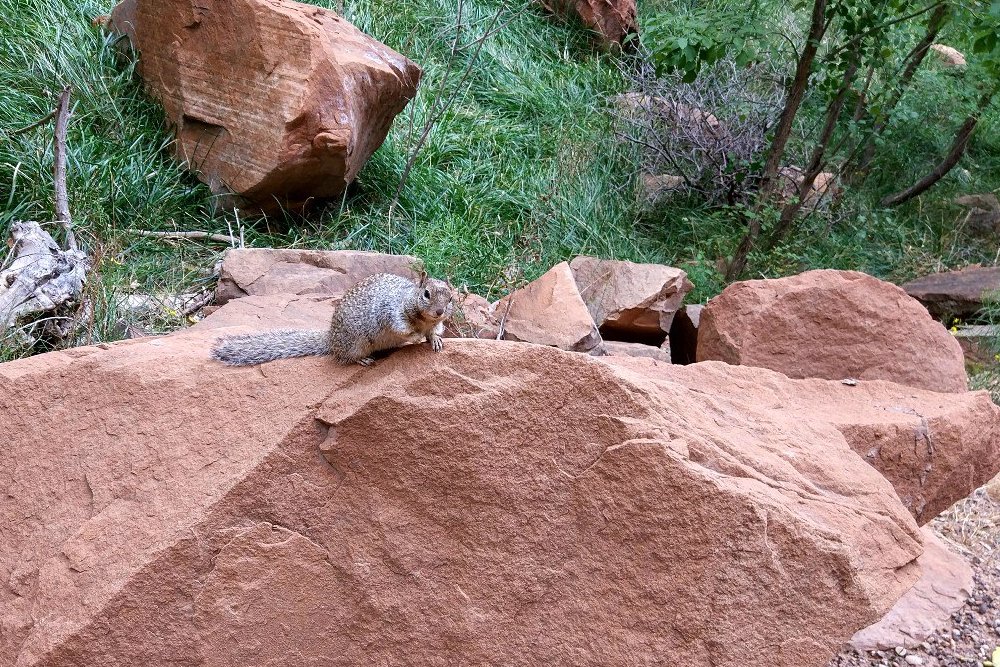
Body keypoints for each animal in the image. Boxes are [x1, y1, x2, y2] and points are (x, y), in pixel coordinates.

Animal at [211, 271, 455, 367]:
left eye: (451, 298)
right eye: (426, 294)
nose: (439, 311)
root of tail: (330, 338)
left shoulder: (435, 323)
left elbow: (434, 331)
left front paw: (435, 340)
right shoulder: (391, 312)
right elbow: (400, 327)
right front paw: (413, 335)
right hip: (356, 343)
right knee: (345, 357)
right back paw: (362, 360)